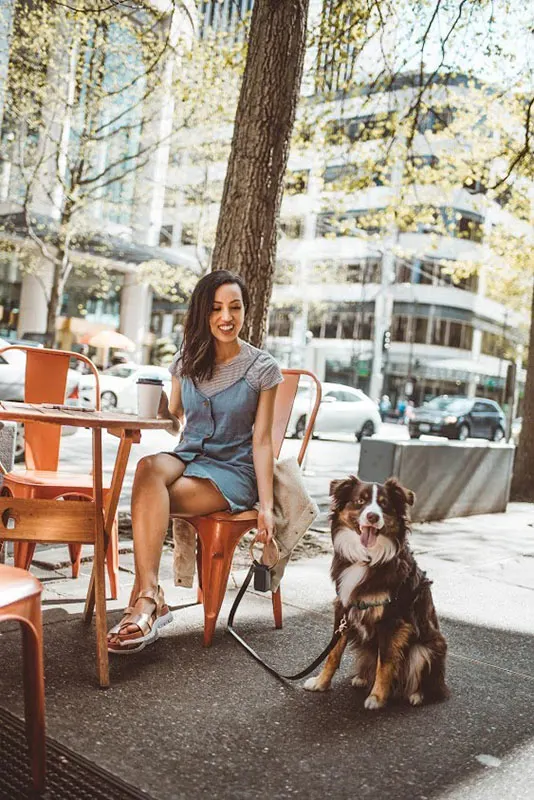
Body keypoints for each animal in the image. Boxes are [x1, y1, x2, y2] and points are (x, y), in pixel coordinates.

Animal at [304, 472, 450, 708]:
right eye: (360, 501)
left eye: (384, 504)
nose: (373, 517)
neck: (367, 558)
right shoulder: (343, 609)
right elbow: (333, 654)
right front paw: (320, 683)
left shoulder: (392, 621)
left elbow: (386, 662)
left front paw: (377, 698)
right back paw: (362, 678)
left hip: (426, 649)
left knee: (428, 683)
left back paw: (416, 695)